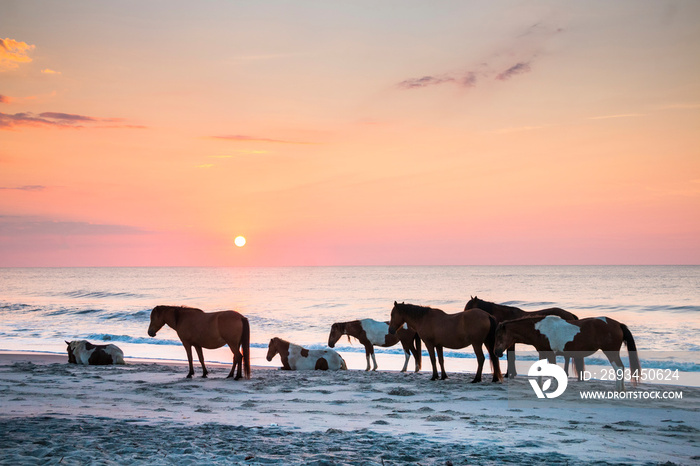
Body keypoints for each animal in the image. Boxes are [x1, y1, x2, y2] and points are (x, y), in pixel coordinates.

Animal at [492, 314, 640, 392]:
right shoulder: (543, 353)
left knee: (619, 368)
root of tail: (618, 324)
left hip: (611, 352)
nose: (496, 352)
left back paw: (618, 389)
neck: (540, 330)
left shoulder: (551, 354)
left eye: (499, 336)